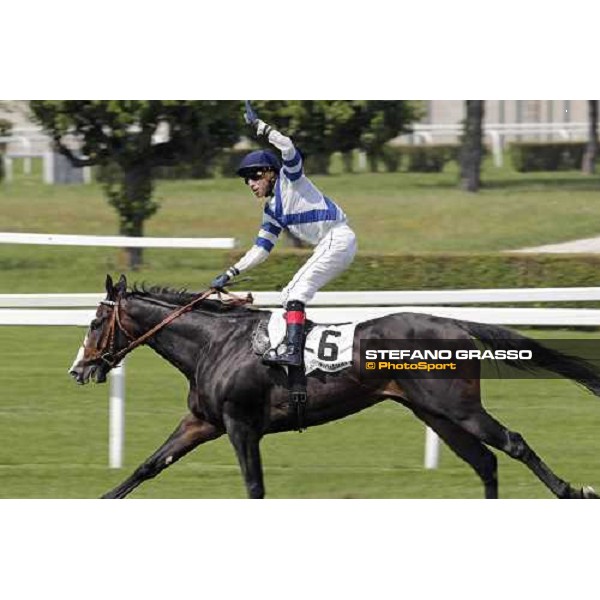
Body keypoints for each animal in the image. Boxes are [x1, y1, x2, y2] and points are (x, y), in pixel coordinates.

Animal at [68, 274, 600, 500]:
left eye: (95, 323)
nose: (78, 369)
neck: (214, 344)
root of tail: (454, 323)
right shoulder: (203, 421)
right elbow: (148, 465)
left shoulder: (241, 425)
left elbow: (254, 486)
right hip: (435, 413)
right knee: (485, 462)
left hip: (458, 408)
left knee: (512, 443)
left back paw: (572, 491)